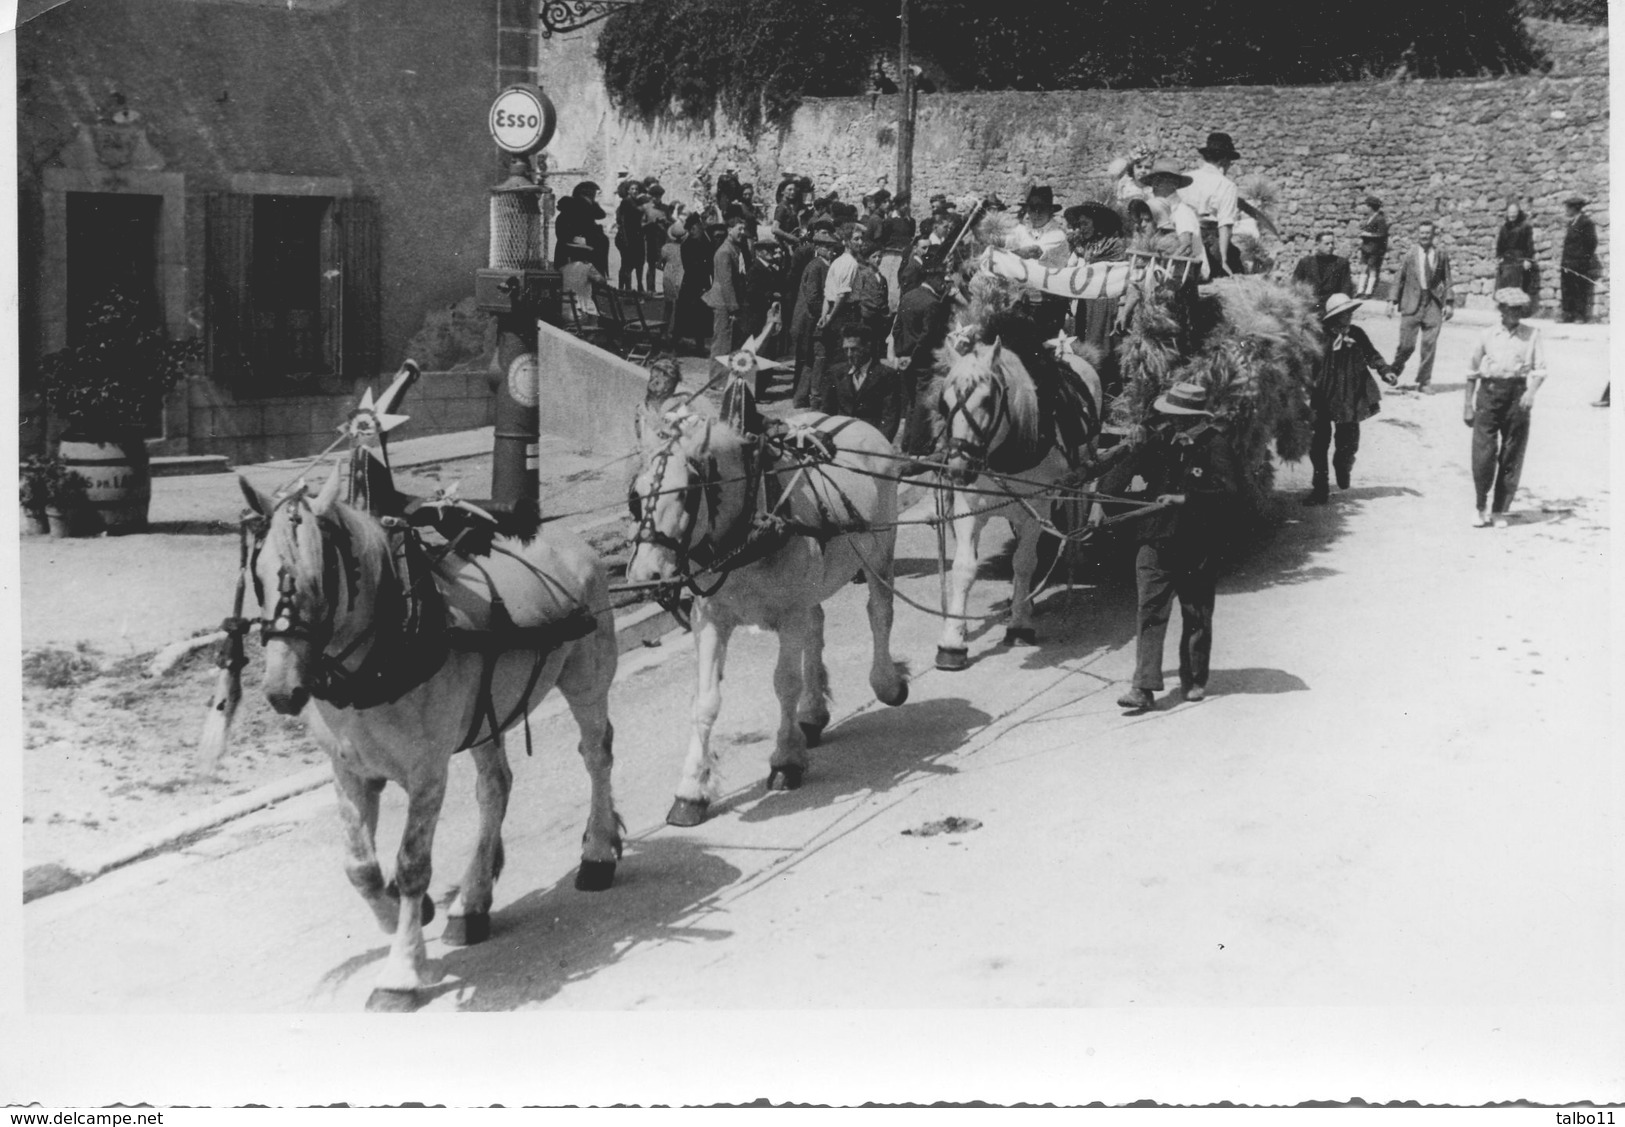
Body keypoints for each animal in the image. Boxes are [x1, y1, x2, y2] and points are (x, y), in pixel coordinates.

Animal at [237, 470, 620, 1013]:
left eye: (322, 574)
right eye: (260, 573)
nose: (281, 690)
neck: (383, 648)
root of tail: (571, 541)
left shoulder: (427, 773)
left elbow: (412, 865)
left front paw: (400, 972)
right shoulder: (350, 771)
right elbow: (361, 868)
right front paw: (409, 917)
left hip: (587, 678)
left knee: (596, 756)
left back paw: (598, 855)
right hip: (485, 713)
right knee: (496, 787)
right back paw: (472, 902)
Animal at [627, 401, 910, 824]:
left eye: (688, 495)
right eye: (636, 495)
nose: (646, 576)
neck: (748, 531)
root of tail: (856, 422)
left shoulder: (789, 614)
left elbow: (785, 683)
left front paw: (786, 760)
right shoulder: (711, 618)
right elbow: (705, 700)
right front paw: (692, 790)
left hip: (879, 550)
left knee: (879, 611)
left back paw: (886, 683)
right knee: (816, 624)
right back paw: (812, 714)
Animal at [936, 336, 1098, 672]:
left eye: (987, 400)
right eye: (944, 403)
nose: (958, 467)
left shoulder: (1038, 507)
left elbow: (1024, 562)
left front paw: (1019, 627)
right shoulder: (968, 507)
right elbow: (964, 567)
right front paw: (953, 641)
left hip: (1079, 483)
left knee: (1075, 519)